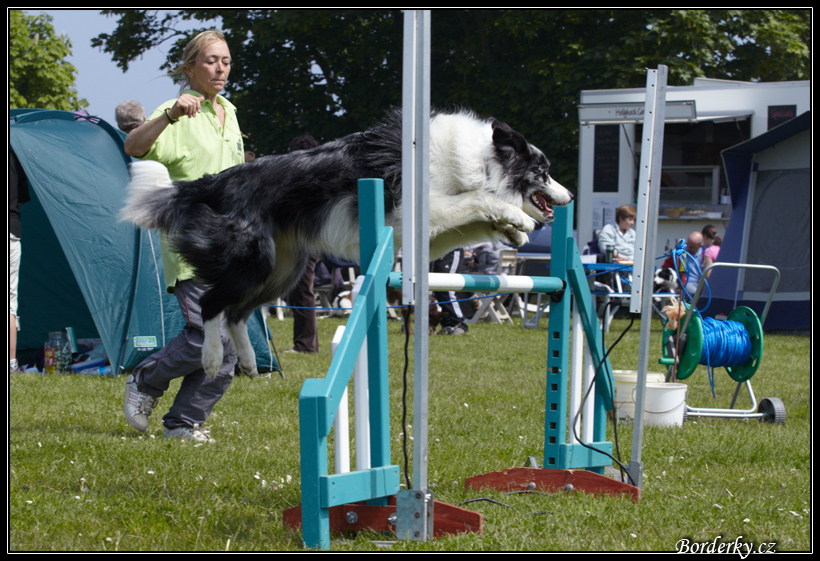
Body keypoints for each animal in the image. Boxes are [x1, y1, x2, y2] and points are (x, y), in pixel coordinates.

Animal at [121, 108, 572, 376]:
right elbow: (479, 199)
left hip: (283, 269)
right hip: (254, 259)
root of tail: (212, 183)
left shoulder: (430, 233)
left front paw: (512, 228)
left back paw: (248, 362)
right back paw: (213, 359)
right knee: (214, 304)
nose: (568, 197)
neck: (479, 159)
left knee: (237, 312)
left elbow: (476, 217)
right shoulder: (419, 210)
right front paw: (516, 219)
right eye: (544, 172)